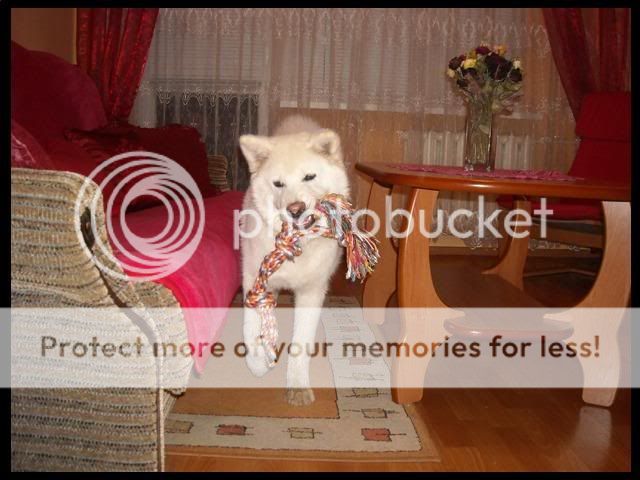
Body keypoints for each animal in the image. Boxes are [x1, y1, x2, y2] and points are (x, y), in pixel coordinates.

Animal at [239, 115, 350, 406]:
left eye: (309, 176)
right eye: (278, 183)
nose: (295, 209)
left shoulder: (312, 292)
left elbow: (301, 341)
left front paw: (297, 385)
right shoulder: (254, 281)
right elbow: (250, 329)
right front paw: (259, 364)